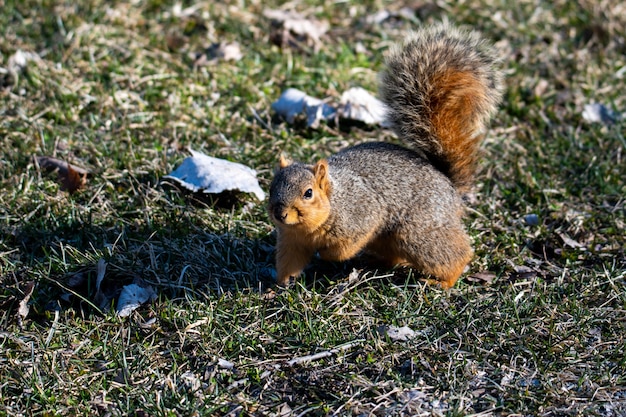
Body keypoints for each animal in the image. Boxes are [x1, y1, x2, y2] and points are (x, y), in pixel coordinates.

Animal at [266, 22, 502, 288]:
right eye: (271, 187)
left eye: (308, 193)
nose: (280, 213)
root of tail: (449, 186)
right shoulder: (291, 240)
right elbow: (289, 260)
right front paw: (281, 283)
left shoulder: (363, 215)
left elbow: (343, 248)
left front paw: (326, 255)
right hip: (391, 239)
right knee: (396, 257)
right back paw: (374, 261)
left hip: (418, 231)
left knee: (454, 254)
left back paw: (443, 281)